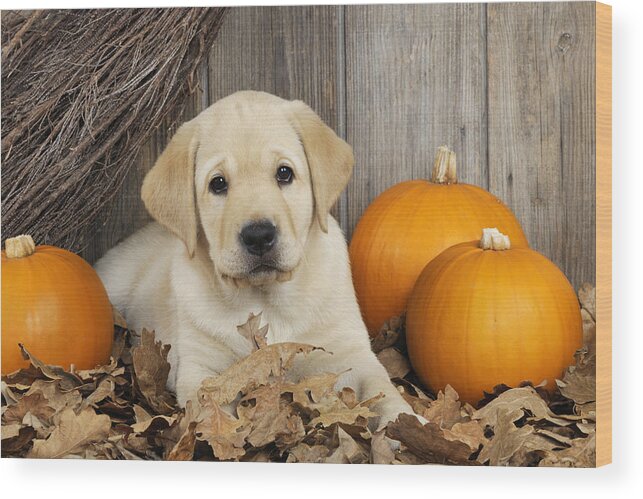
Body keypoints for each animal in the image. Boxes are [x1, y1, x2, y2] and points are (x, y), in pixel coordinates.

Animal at [95, 91, 418, 430]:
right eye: (218, 183)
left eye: (284, 173)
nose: (259, 236)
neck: (267, 302)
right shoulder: (202, 368)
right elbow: (212, 408)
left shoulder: (351, 353)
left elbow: (383, 389)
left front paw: (405, 423)